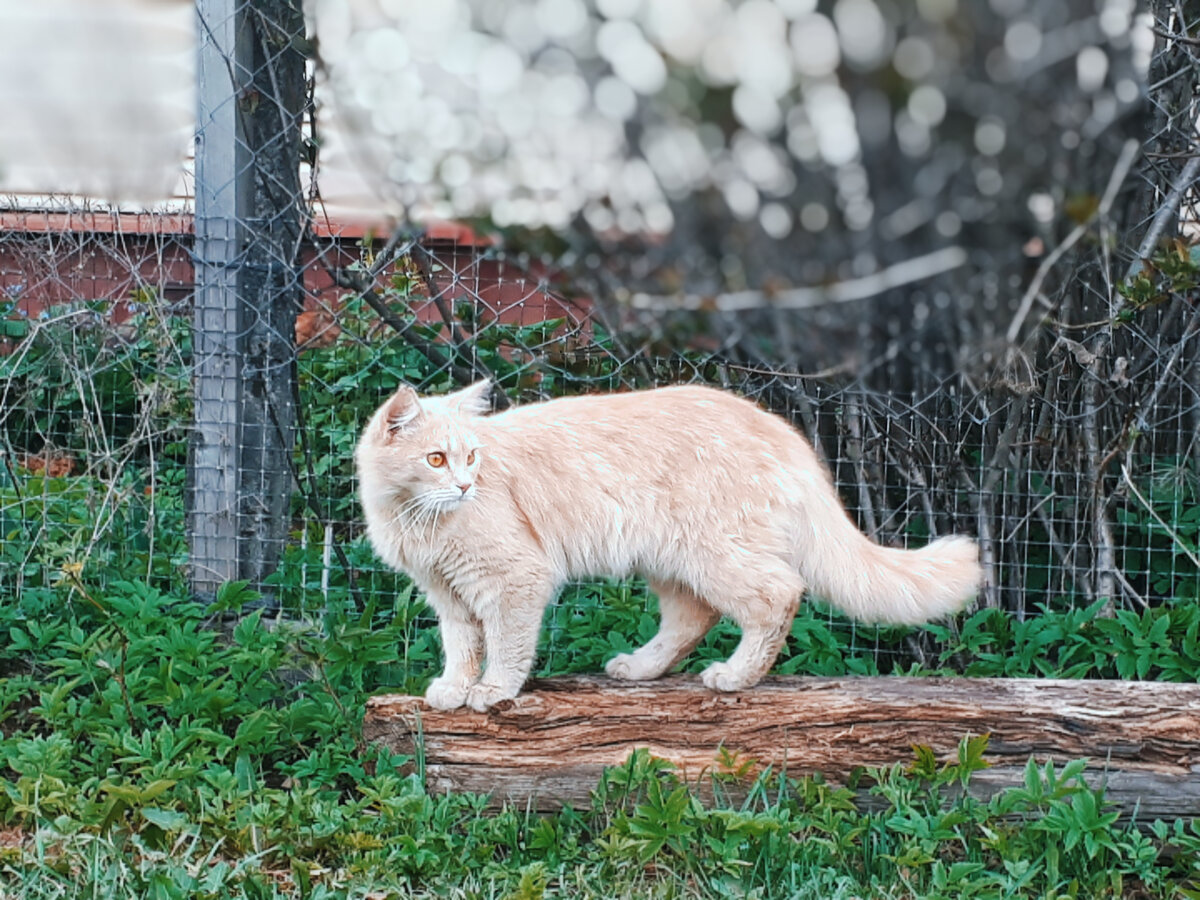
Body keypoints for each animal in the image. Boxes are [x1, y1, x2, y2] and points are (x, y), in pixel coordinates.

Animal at [350, 381, 979, 710]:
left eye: (472, 457)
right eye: (437, 459)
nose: (464, 485)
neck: (416, 518)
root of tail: (776, 426)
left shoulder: (512, 582)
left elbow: (506, 648)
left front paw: (491, 692)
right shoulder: (449, 595)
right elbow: (462, 647)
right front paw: (453, 689)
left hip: (713, 556)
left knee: (779, 595)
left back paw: (735, 677)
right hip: (672, 563)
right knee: (691, 620)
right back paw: (641, 668)